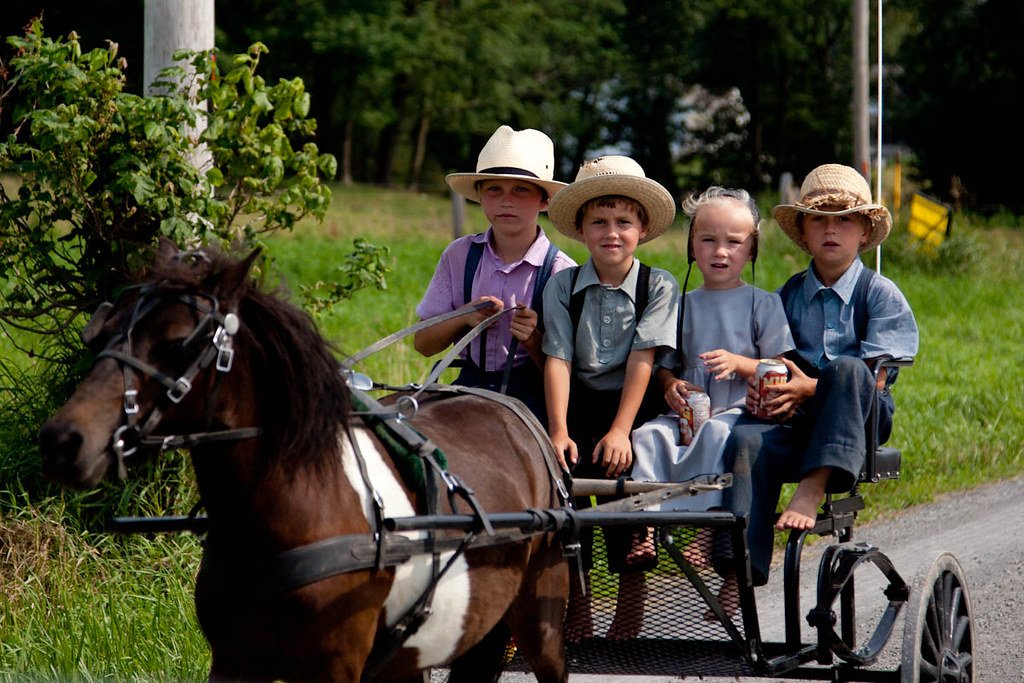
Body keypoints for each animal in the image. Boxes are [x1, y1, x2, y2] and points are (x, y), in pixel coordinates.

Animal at [37, 239, 569, 683]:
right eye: (101, 332)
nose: (63, 440)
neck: (290, 508)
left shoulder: (336, 667)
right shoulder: (233, 662)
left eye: (176, 343)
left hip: (541, 614)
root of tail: (508, 405)